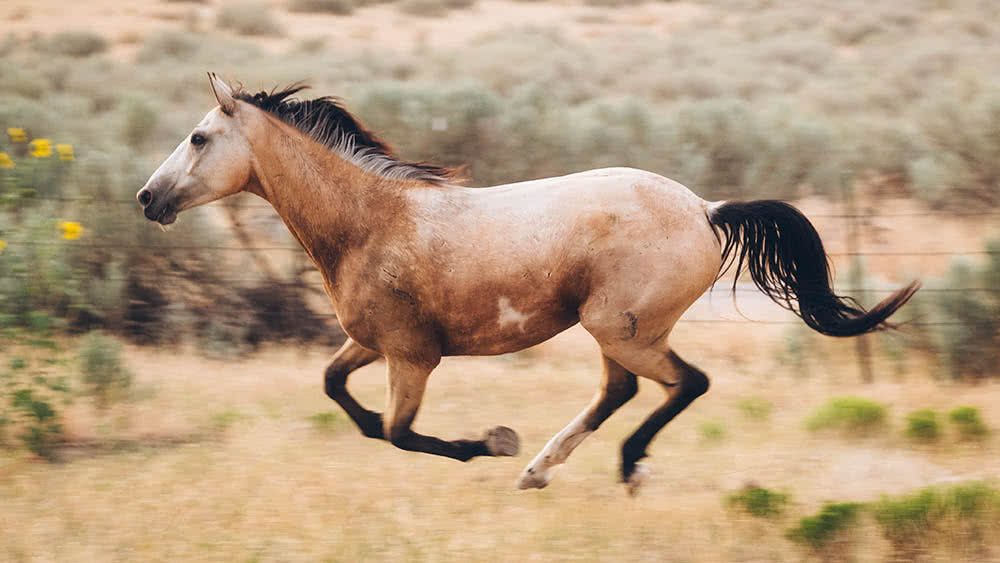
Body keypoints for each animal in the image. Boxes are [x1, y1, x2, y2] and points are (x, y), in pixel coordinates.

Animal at [137, 74, 916, 494]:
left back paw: (619, 466)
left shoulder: (413, 357)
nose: (148, 198)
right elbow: (338, 393)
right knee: (622, 391)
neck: (370, 222)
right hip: (617, 333)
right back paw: (542, 470)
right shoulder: (371, 343)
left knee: (683, 383)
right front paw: (500, 448)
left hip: (623, 329)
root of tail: (706, 208)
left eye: (199, 138)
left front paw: (491, 441)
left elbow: (397, 432)